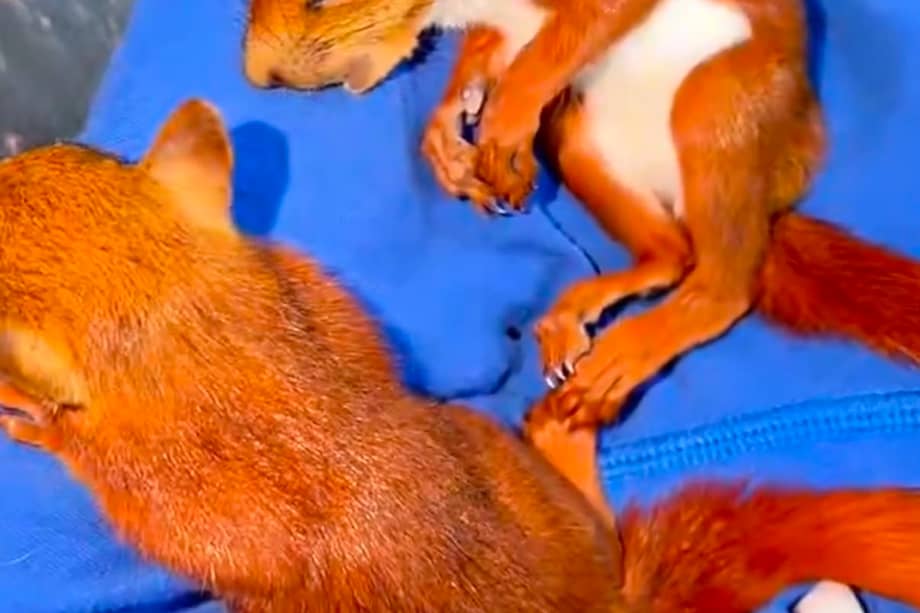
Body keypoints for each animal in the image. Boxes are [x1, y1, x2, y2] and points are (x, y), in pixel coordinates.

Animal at [242, 0, 920, 433]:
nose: (258, 76)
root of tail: (776, 186)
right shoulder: (506, 29)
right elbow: (491, 55)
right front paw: (449, 134)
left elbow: (552, 50)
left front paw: (502, 126)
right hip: (583, 142)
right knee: (673, 254)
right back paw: (575, 315)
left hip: (713, 105)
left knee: (724, 286)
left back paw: (620, 362)